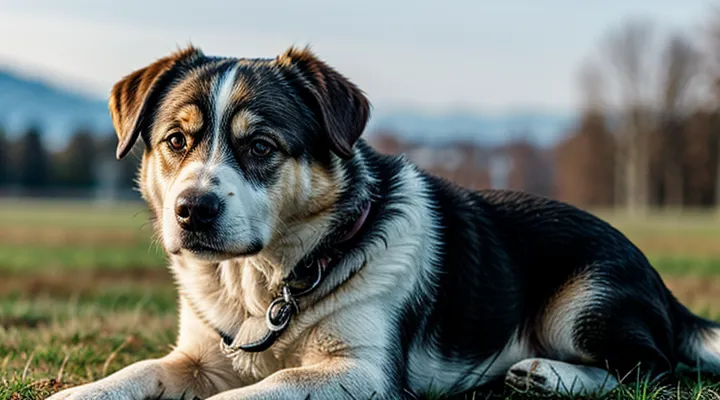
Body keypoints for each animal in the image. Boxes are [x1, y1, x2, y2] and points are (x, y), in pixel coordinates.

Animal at [49, 45, 720, 398]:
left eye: (261, 146)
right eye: (176, 141)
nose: (192, 211)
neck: (269, 281)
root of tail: (659, 283)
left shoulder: (360, 371)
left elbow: (266, 387)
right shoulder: (197, 358)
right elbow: (133, 373)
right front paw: (77, 393)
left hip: (579, 304)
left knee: (653, 368)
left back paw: (546, 373)